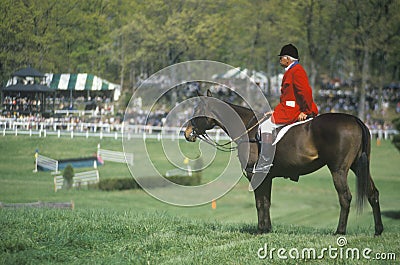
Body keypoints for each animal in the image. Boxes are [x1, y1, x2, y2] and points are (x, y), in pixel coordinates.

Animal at [185, 89, 384, 234]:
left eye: (197, 111)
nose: (186, 132)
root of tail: (355, 120)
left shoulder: (256, 175)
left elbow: (260, 202)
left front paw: (260, 230)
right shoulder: (267, 177)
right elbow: (266, 202)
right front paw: (267, 229)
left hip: (338, 170)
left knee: (345, 197)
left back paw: (340, 231)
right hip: (359, 167)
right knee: (372, 193)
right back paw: (378, 230)